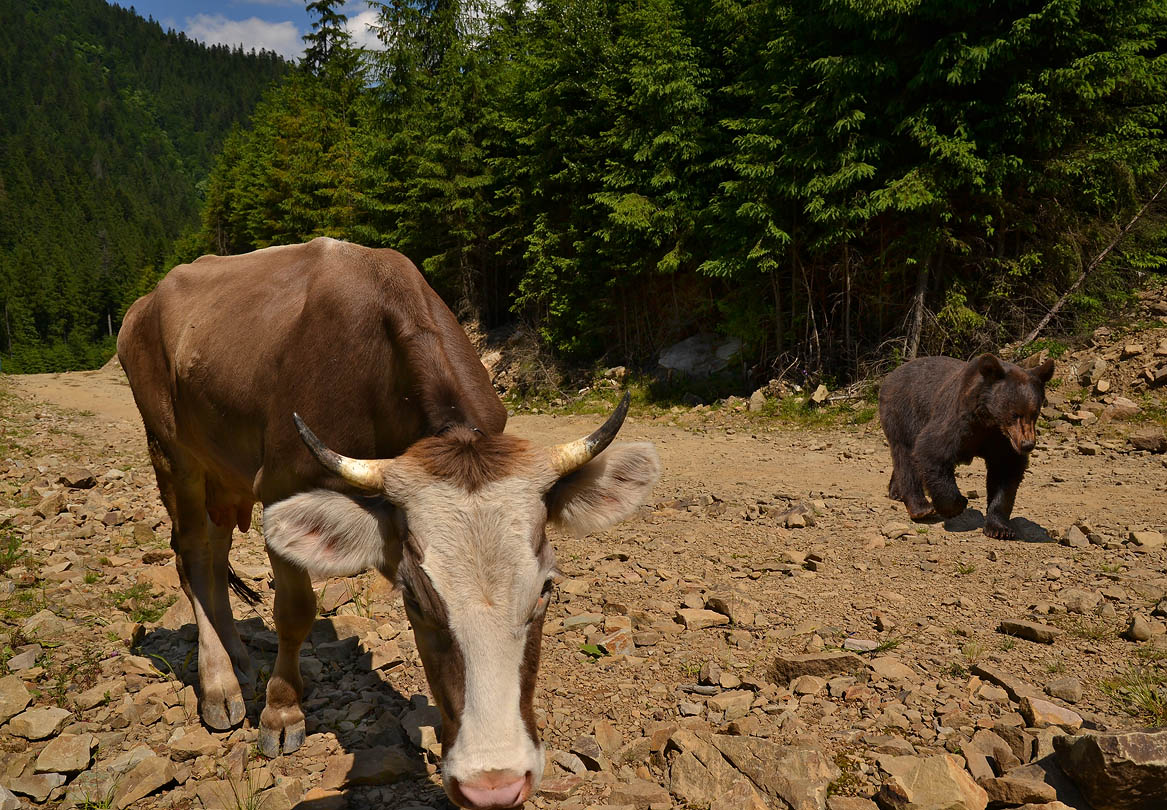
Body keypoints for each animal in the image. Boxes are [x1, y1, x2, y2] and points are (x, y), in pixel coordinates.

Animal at [124, 238, 667, 807]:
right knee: (192, 557)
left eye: (545, 591)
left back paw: (239, 659)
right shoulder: (278, 484)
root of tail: (146, 302)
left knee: (215, 555)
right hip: (171, 452)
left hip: (221, 471)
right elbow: (294, 612)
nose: (494, 786)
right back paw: (220, 687)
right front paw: (281, 712)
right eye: (414, 599)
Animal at [877, 354, 1059, 539]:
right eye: (1014, 414)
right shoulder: (958, 421)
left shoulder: (1001, 440)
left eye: (1035, 413)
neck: (988, 421)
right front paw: (958, 505)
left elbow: (1005, 472)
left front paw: (1000, 528)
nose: (1027, 444)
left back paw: (896, 492)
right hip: (903, 413)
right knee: (905, 454)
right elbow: (932, 450)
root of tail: (891, 375)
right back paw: (921, 508)